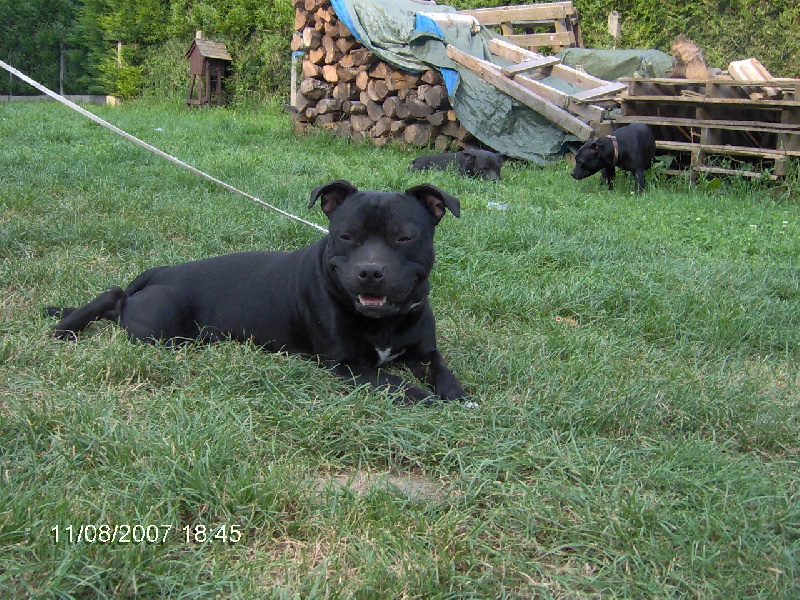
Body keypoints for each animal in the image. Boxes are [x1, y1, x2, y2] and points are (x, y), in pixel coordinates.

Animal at [47, 178, 472, 404]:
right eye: (346, 235)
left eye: (405, 237)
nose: (370, 271)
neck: (383, 321)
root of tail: (161, 271)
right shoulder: (346, 365)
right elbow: (395, 384)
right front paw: (426, 399)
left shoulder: (424, 353)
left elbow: (442, 370)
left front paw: (458, 396)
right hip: (162, 328)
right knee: (116, 297)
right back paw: (63, 328)